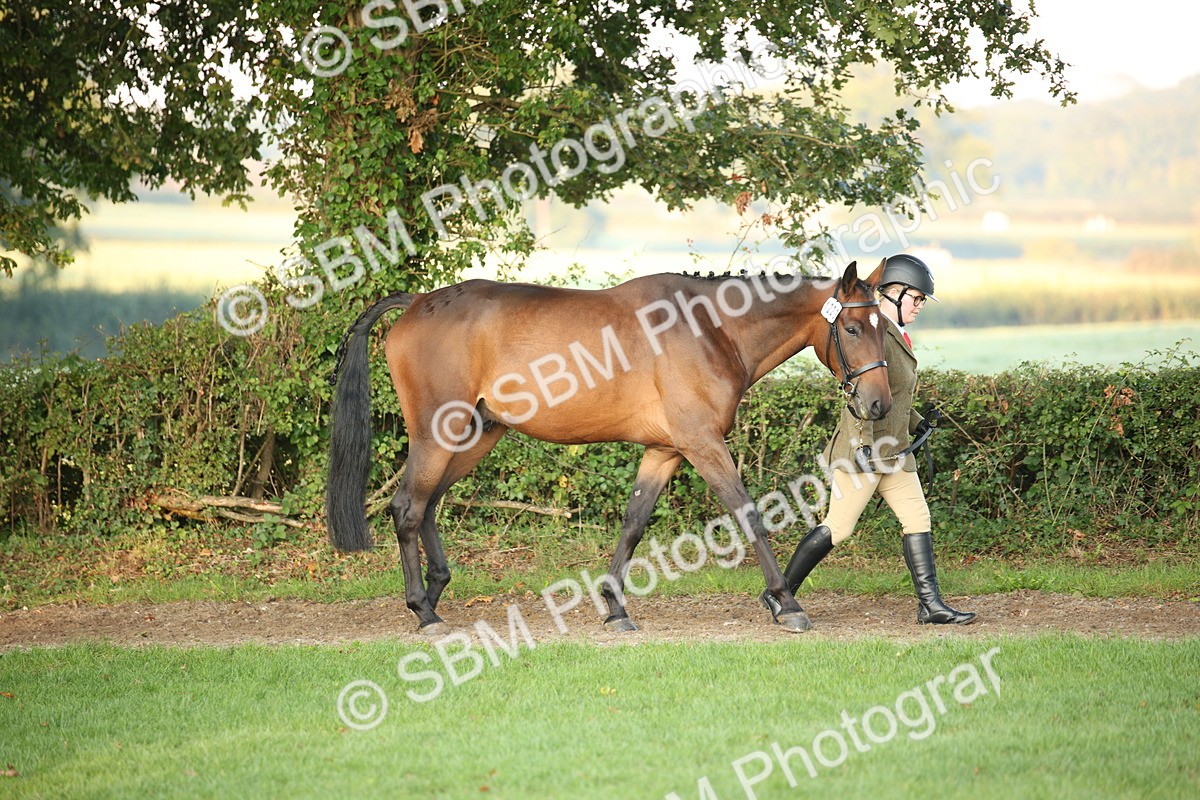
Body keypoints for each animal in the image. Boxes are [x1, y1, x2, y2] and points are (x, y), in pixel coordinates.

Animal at [326, 259, 892, 634]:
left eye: (885, 327)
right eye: (853, 327)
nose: (879, 403)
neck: (710, 327)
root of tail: (419, 301)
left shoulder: (664, 451)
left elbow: (634, 523)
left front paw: (615, 607)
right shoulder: (703, 444)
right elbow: (747, 513)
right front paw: (786, 604)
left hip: (475, 434)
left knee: (429, 504)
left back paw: (437, 589)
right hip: (436, 435)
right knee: (408, 506)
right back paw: (423, 611)